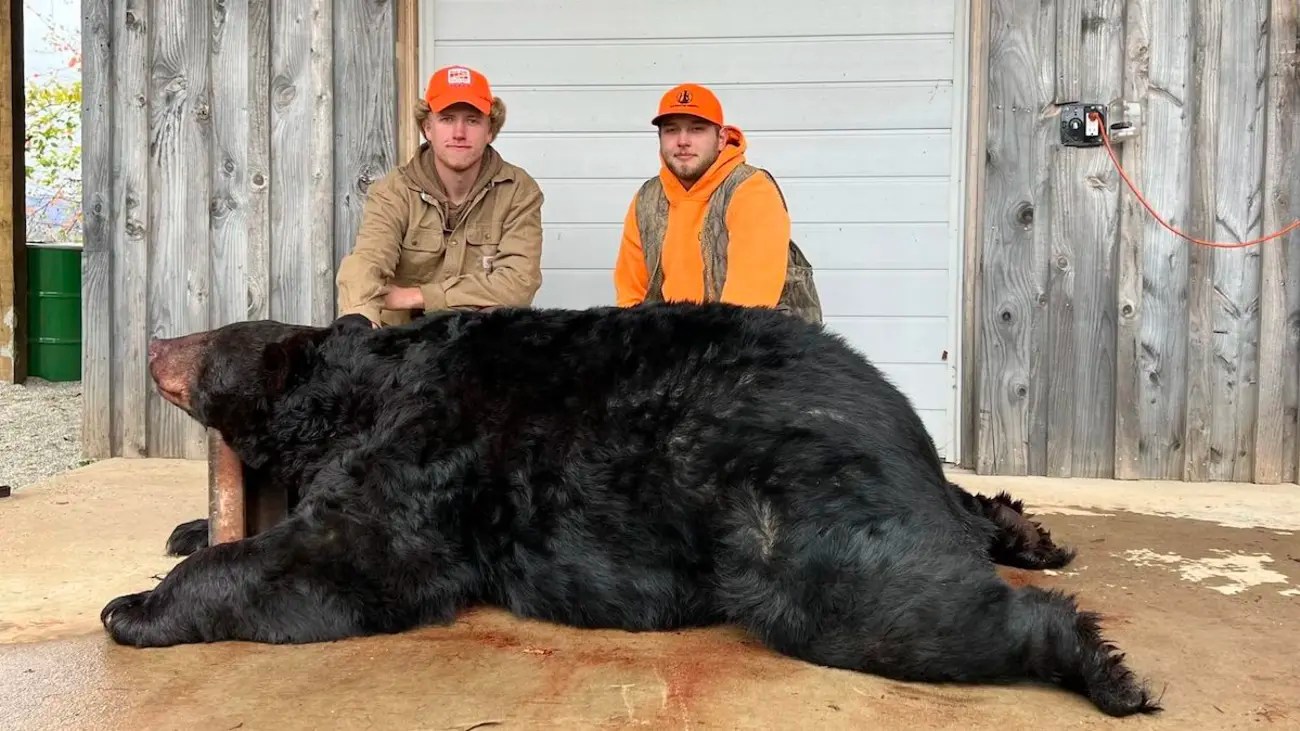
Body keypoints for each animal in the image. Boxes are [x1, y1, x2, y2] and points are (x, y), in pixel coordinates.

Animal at [101, 302, 1160, 717]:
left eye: (210, 338)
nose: (150, 337)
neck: (359, 389)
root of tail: (892, 409)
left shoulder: (428, 454)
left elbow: (345, 555)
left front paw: (137, 602)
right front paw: (186, 527)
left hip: (786, 500)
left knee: (874, 597)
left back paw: (1100, 663)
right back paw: (1027, 531)